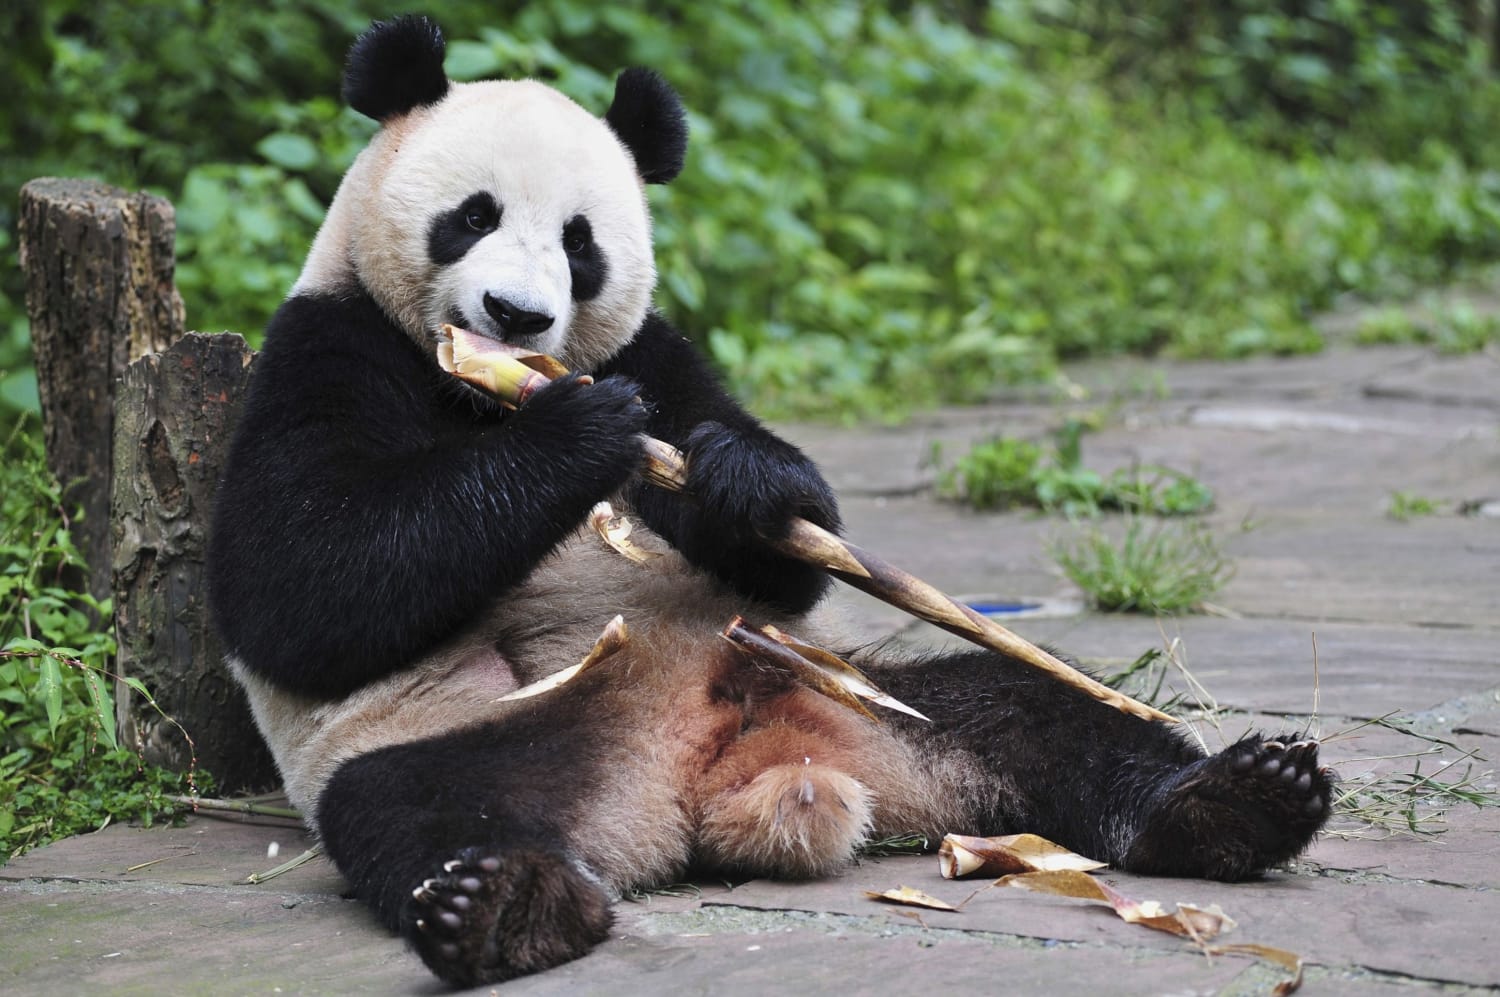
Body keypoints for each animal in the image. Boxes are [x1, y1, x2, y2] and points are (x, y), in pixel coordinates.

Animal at [205, 15, 1332, 989]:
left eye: (579, 242)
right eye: (472, 216)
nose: (517, 316)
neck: (480, 390)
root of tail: (705, 781)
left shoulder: (658, 348)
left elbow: (773, 521)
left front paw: (740, 481)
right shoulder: (327, 343)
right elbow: (301, 586)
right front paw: (580, 432)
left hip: (851, 688)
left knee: (1039, 710)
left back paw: (1238, 800)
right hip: (475, 732)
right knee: (425, 810)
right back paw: (504, 909)